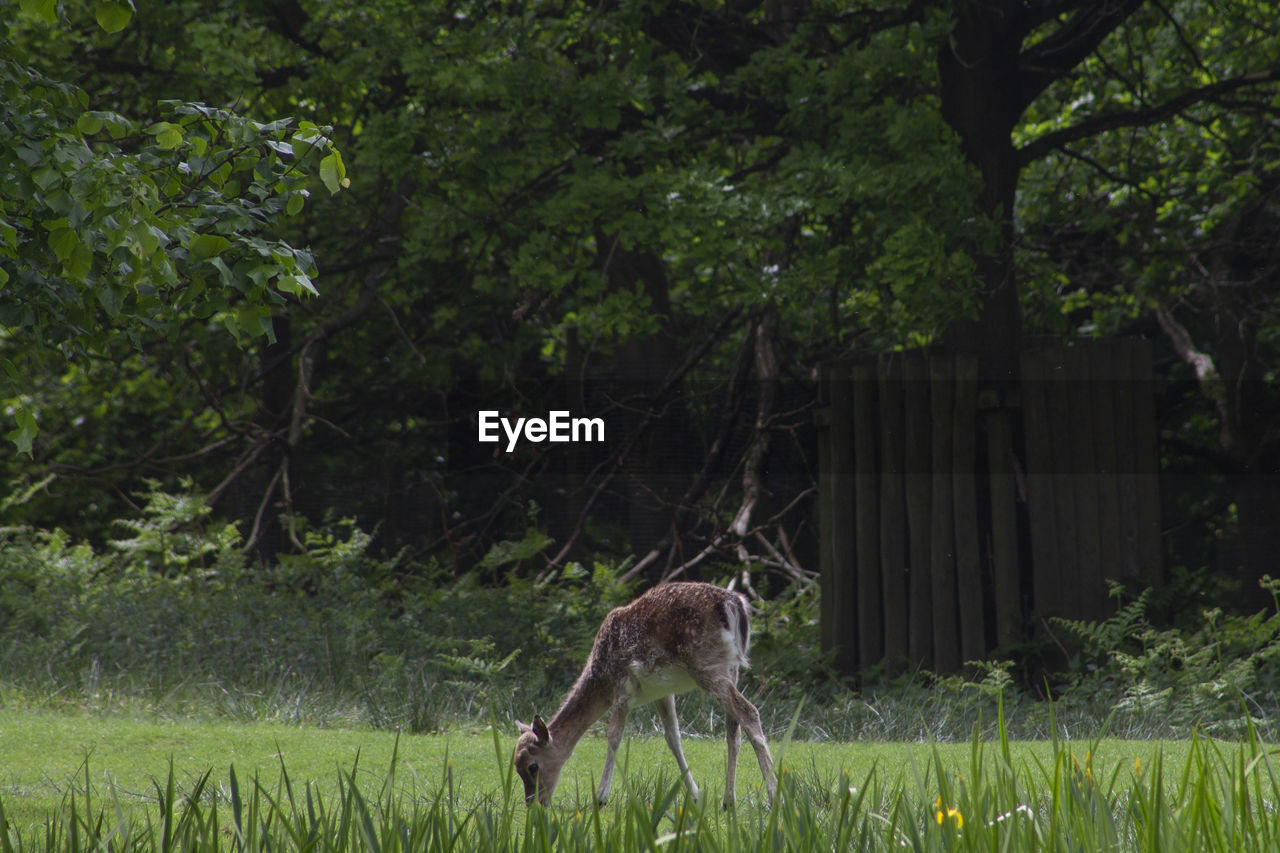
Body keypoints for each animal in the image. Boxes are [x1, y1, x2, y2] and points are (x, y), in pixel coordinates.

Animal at [512, 581, 773, 809]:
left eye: (532, 767)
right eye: (517, 767)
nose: (534, 803)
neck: (601, 680)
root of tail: (734, 604)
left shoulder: (622, 685)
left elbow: (613, 736)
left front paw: (600, 797)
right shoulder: (662, 692)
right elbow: (673, 737)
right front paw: (696, 794)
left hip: (706, 665)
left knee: (749, 712)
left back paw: (773, 797)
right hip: (732, 668)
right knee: (733, 729)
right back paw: (729, 801)